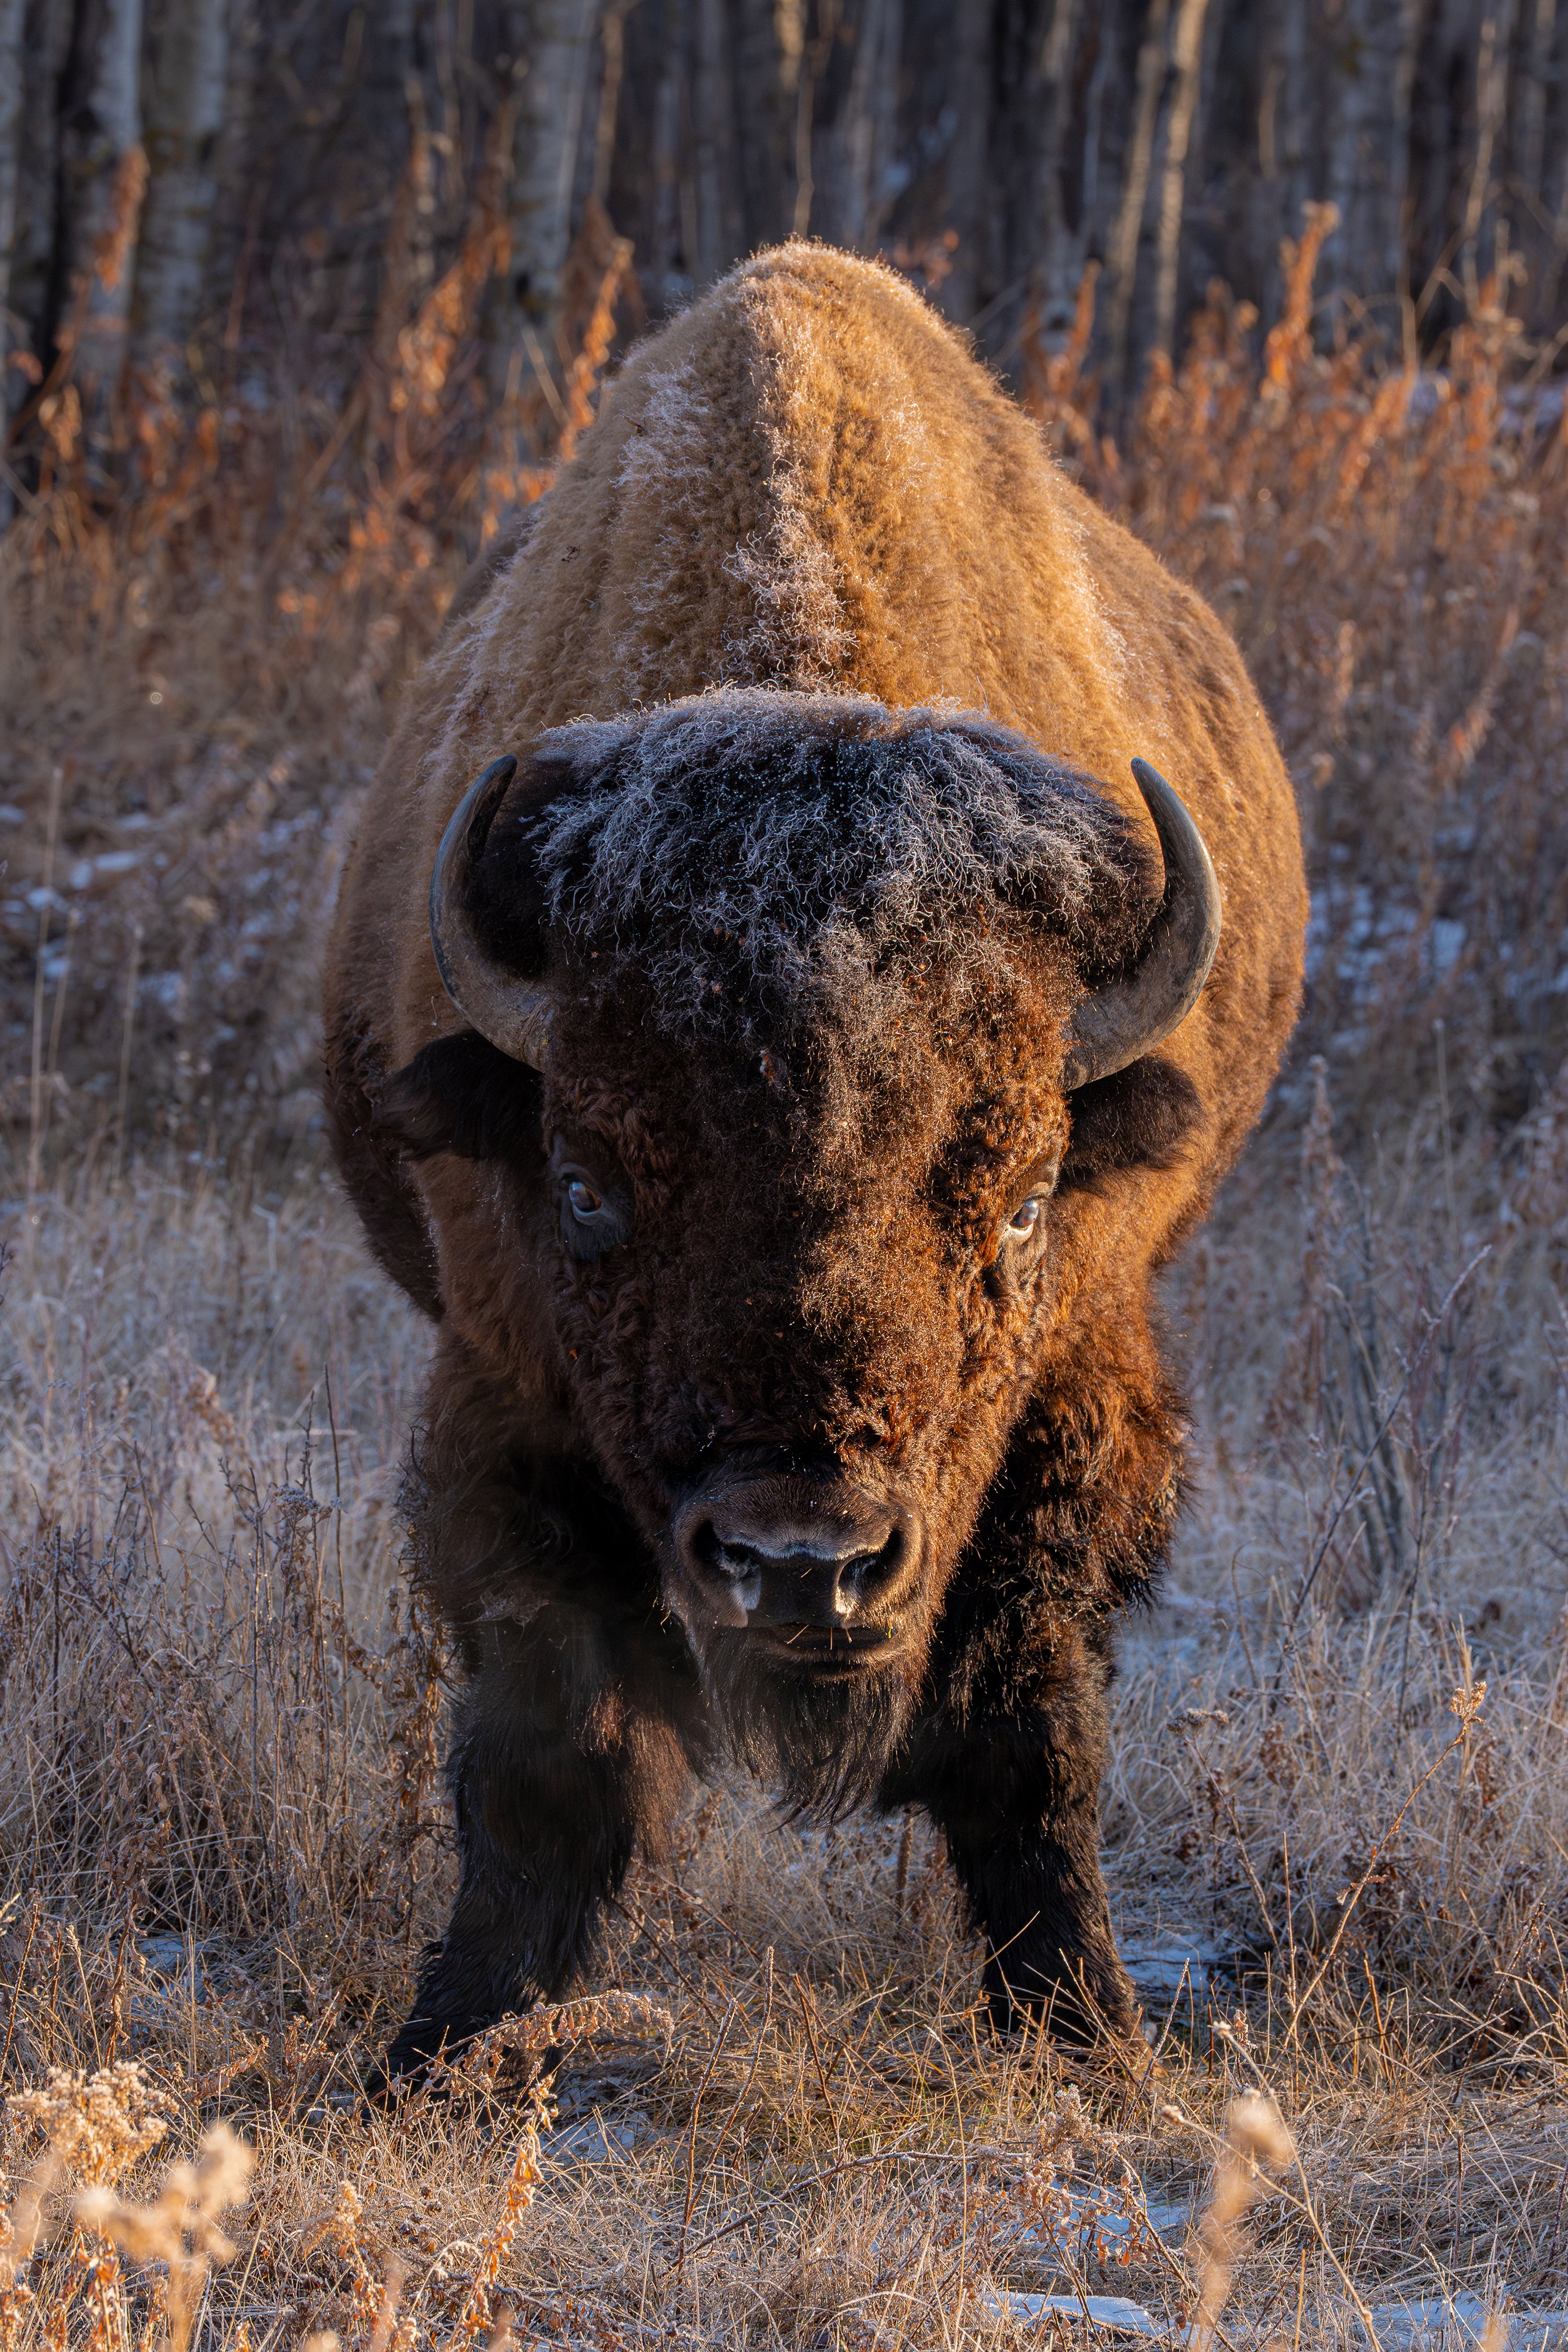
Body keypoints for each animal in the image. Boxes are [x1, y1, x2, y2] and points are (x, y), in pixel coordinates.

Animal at [323, 243, 1306, 2076]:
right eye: (587, 1184)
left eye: (1022, 1200)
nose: (801, 1562)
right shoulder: (495, 1397)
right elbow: (543, 1758)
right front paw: (444, 2042)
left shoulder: (1080, 1399)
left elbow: (1032, 1738)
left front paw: (1094, 2033)